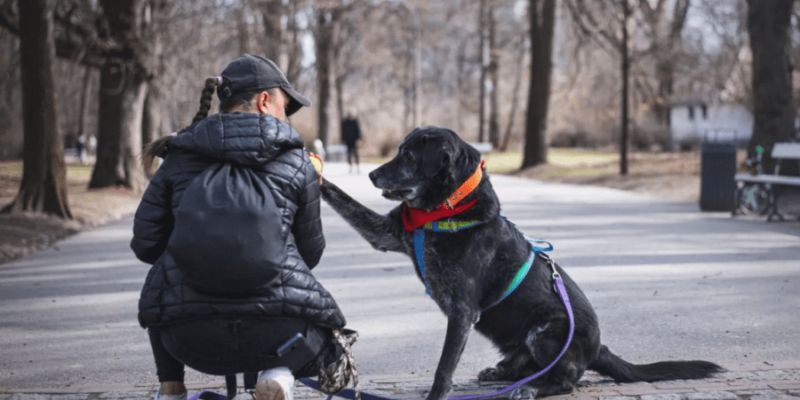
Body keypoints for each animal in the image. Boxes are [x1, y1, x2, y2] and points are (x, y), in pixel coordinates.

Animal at [320, 126, 724, 398]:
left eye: (409, 156)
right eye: (399, 151)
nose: (372, 173)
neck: (447, 209)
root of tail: (599, 349)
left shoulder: (462, 311)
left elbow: (443, 367)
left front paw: (436, 394)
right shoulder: (385, 234)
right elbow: (344, 200)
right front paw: (316, 172)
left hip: (547, 328)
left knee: (565, 381)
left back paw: (530, 388)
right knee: (528, 368)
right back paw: (504, 374)